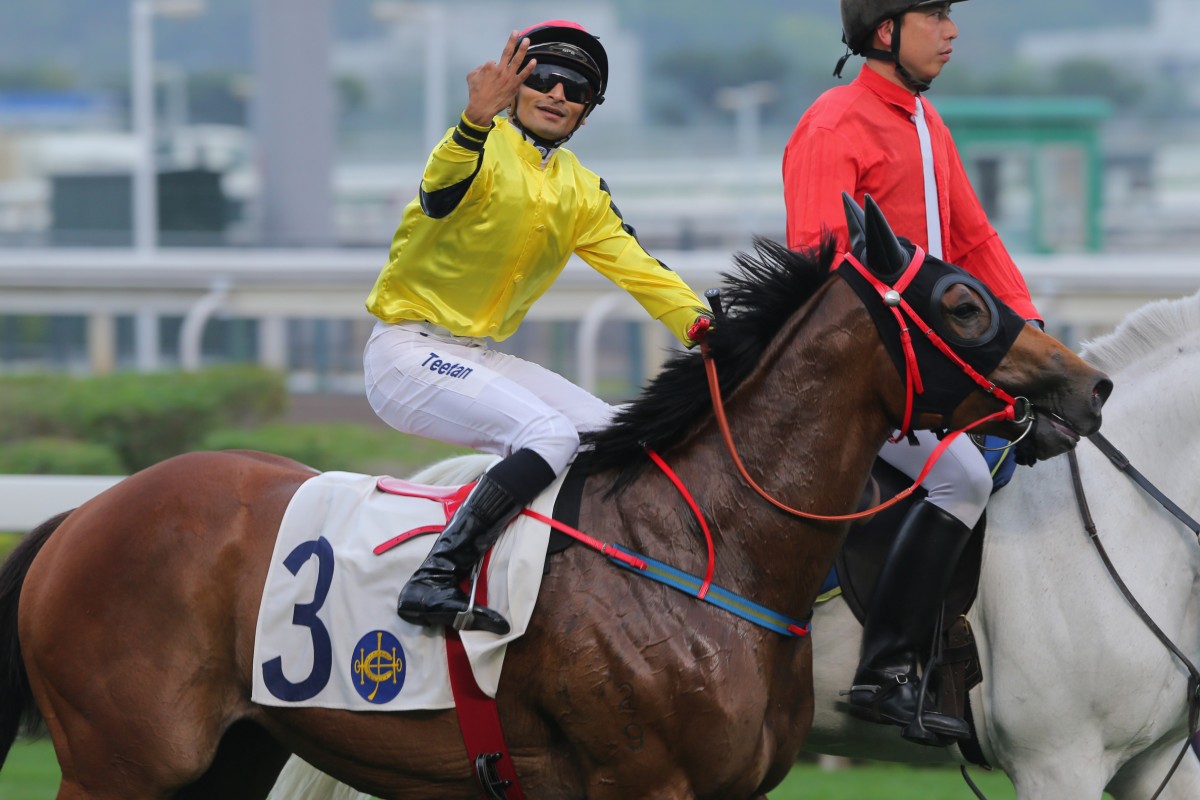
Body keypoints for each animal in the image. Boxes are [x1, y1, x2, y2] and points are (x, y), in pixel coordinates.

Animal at [0, 200, 1108, 800]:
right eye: (961, 301)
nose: (1086, 385)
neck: (707, 550)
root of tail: (83, 516)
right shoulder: (639, 779)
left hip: (225, 756)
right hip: (118, 761)